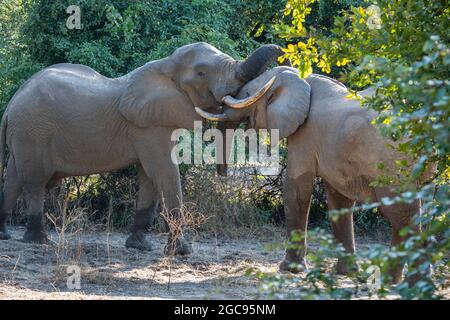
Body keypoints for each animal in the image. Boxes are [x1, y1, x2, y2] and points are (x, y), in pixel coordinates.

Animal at [0, 41, 284, 254]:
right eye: (201, 73)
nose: (281, 50)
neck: (165, 65)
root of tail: (12, 104)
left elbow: (149, 179)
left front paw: (140, 247)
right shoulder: (148, 126)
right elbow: (165, 172)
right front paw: (182, 252)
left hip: (24, 135)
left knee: (14, 178)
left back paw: (4, 236)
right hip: (33, 131)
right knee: (34, 181)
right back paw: (39, 241)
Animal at [197, 66, 428, 282]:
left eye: (246, 93)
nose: (223, 176)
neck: (300, 80)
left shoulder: (305, 136)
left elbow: (296, 190)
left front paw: (289, 269)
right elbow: (338, 201)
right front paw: (345, 273)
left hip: (393, 164)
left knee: (402, 214)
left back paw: (404, 282)